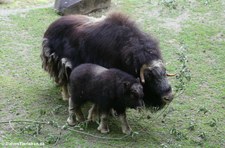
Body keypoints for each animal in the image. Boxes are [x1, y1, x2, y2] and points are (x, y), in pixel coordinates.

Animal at [41, 11, 175, 110]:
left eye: (164, 72)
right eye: (149, 76)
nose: (168, 97)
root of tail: (50, 27)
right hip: (61, 61)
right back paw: (66, 96)